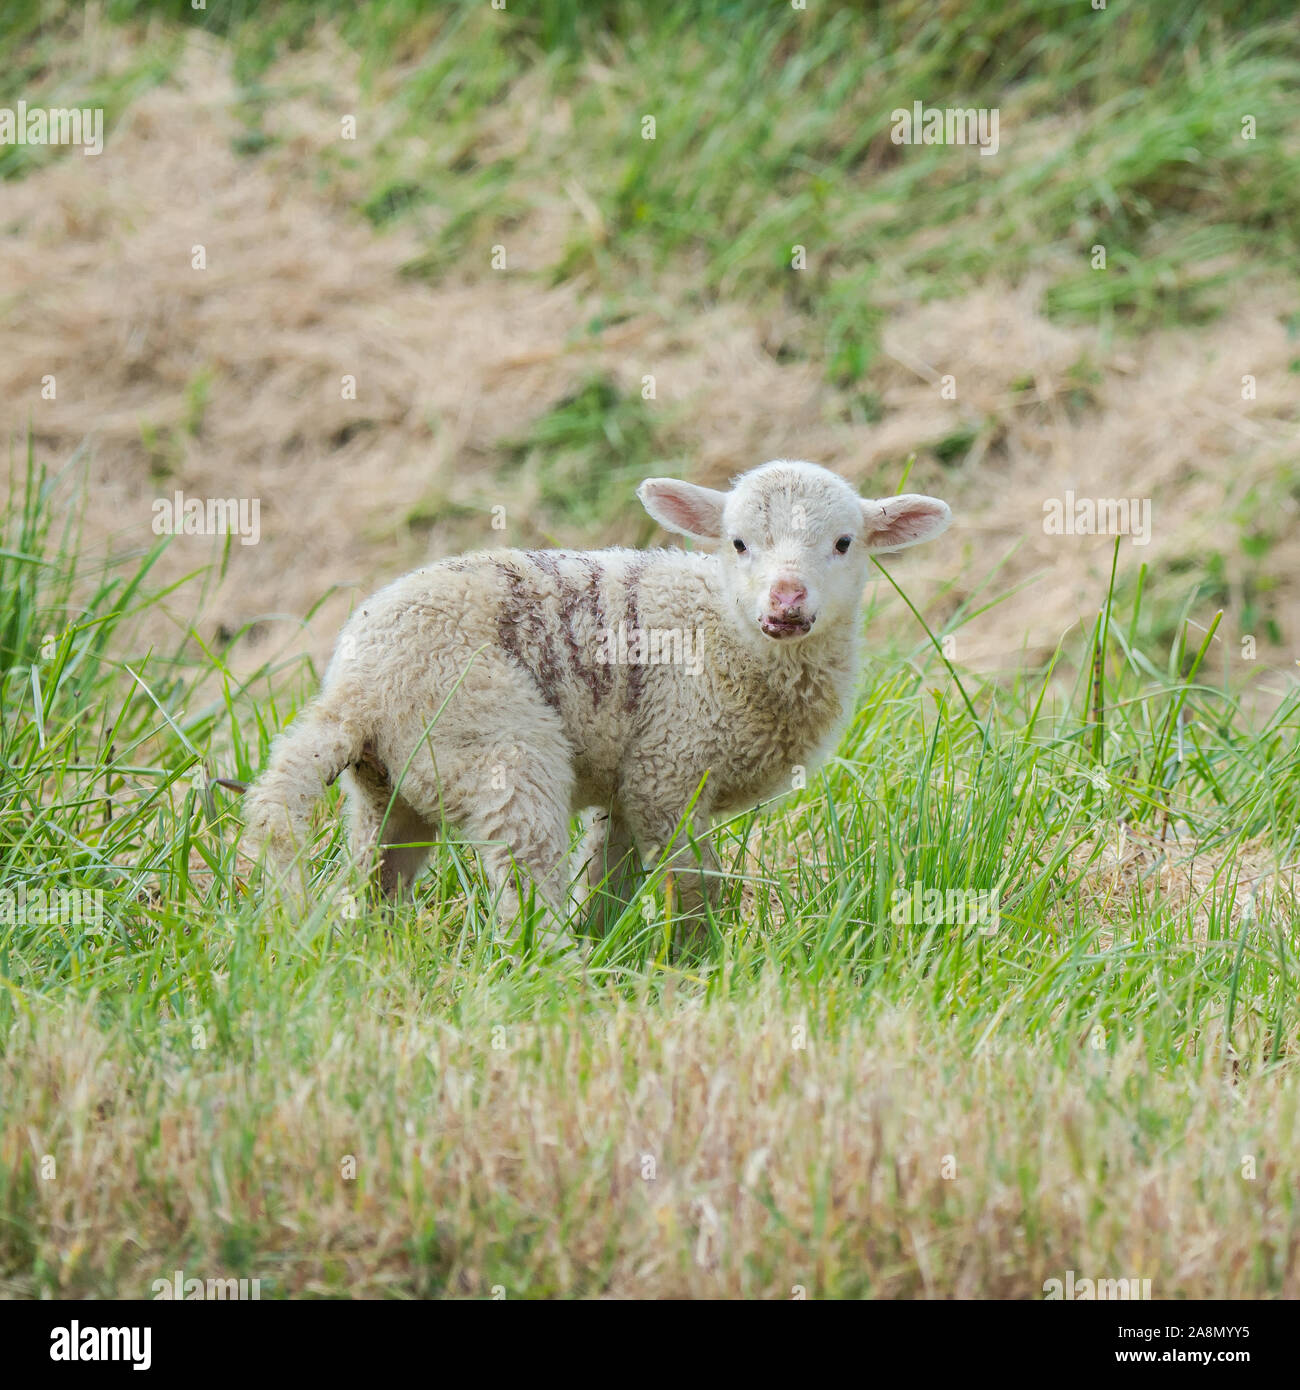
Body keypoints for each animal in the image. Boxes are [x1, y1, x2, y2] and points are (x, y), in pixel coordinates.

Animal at [242, 460, 951, 946]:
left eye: (844, 543)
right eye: (738, 543)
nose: (786, 603)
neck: (726, 632)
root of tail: (355, 691)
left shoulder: (632, 779)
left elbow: (611, 873)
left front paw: (612, 934)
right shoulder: (669, 763)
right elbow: (697, 881)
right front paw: (701, 957)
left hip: (393, 780)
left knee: (377, 870)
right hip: (497, 739)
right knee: (524, 876)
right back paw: (560, 964)